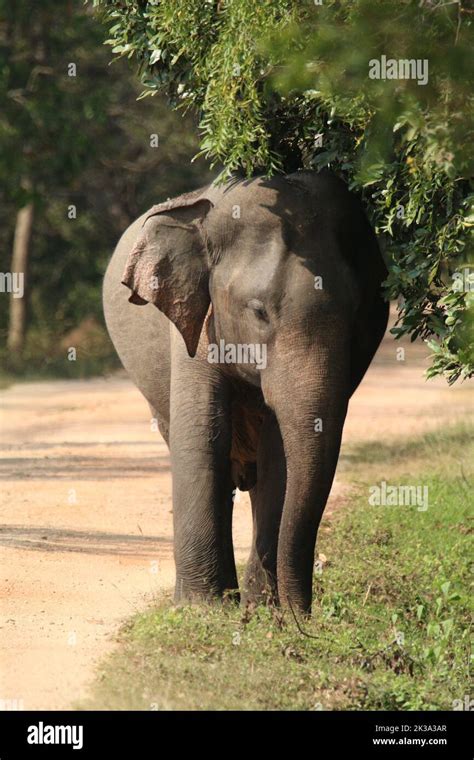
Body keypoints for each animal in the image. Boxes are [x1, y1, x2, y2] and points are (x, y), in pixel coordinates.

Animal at [103, 169, 388, 616]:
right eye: (258, 311)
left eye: (357, 316)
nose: (303, 618)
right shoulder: (195, 323)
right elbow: (202, 434)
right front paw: (201, 610)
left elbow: (280, 454)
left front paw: (262, 608)